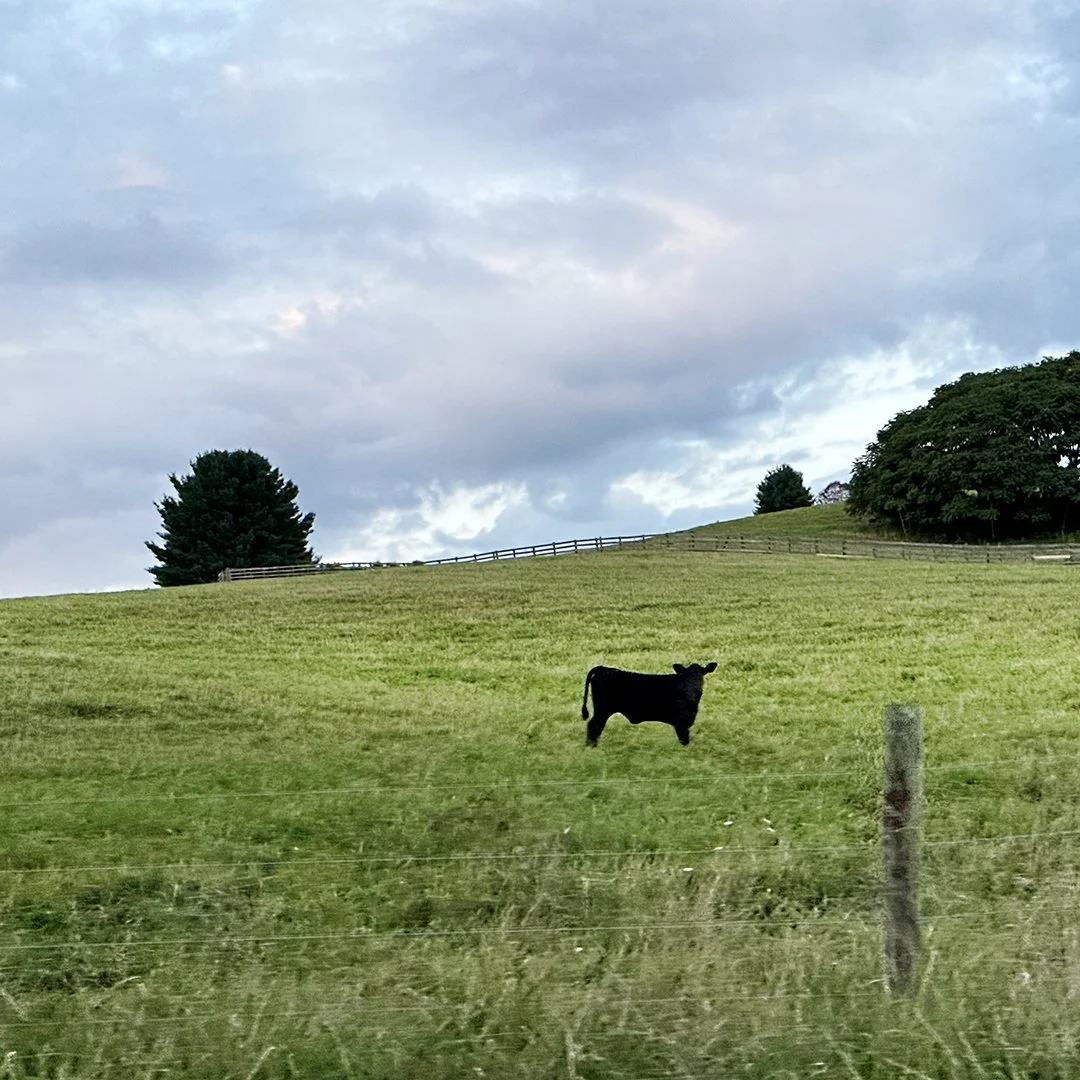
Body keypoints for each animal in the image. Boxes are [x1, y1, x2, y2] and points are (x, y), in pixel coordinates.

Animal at [581, 662, 718, 747]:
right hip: (602, 710)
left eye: (701, 675)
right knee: (594, 726)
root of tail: (603, 668)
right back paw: (591, 747)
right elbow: (684, 740)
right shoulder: (682, 721)